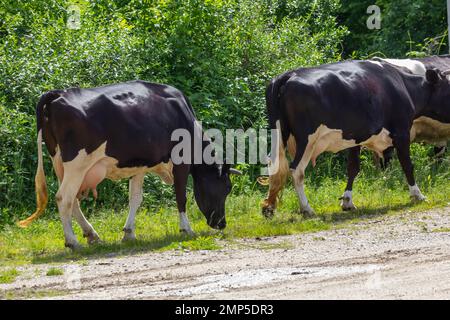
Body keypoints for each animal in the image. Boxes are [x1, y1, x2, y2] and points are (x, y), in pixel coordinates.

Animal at [19, 80, 241, 250]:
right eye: (226, 188)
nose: (222, 224)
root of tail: (58, 93)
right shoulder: (181, 163)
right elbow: (181, 197)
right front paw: (186, 228)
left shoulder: (140, 165)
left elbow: (135, 198)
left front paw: (129, 233)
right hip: (77, 165)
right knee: (63, 198)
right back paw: (73, 241)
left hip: (59, 163)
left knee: (73, 201)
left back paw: (92, 235)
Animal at [260, 59, 450, 218]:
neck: (403, 85)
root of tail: (288, 75)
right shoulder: (401, 132)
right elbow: (408, 166)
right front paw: (418, 195)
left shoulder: (355, 137)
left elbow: (352, 168)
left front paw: (347, 202)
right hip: (306, 140)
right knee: (296, 170)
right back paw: (307, 209)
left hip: (279, 134)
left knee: (275, 167)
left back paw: (269, 208)